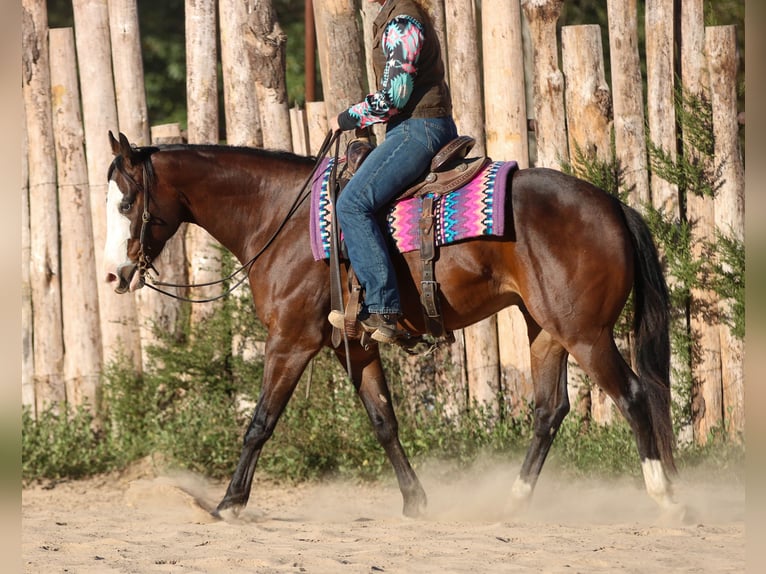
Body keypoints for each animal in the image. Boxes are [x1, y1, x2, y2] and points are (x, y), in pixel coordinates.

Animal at [104, 131, 680, 520]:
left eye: (127, 201)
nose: (115, 274)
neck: (281, 219)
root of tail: (613, 206)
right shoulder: (354, 345)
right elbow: (383, 420)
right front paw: (415, 501)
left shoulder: (290, 341)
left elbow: (260, 422)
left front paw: (229, 502)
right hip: (545, 330)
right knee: (549, 411)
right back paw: (514, 503)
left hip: (586, 333)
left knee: (632, 396)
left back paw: (665, 498)